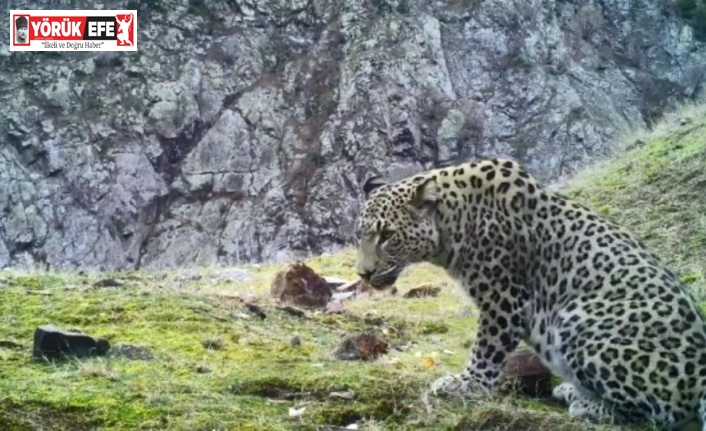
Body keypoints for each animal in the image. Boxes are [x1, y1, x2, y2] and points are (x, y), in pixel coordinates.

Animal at [354, 159, 704, 431]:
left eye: (387, 235)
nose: (363, 274)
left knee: (662, 414)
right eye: (361, 236)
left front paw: (465, 384)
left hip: (578, 319)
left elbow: (486, 350)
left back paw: (585, 404)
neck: (453, 222)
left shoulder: (502, 298)